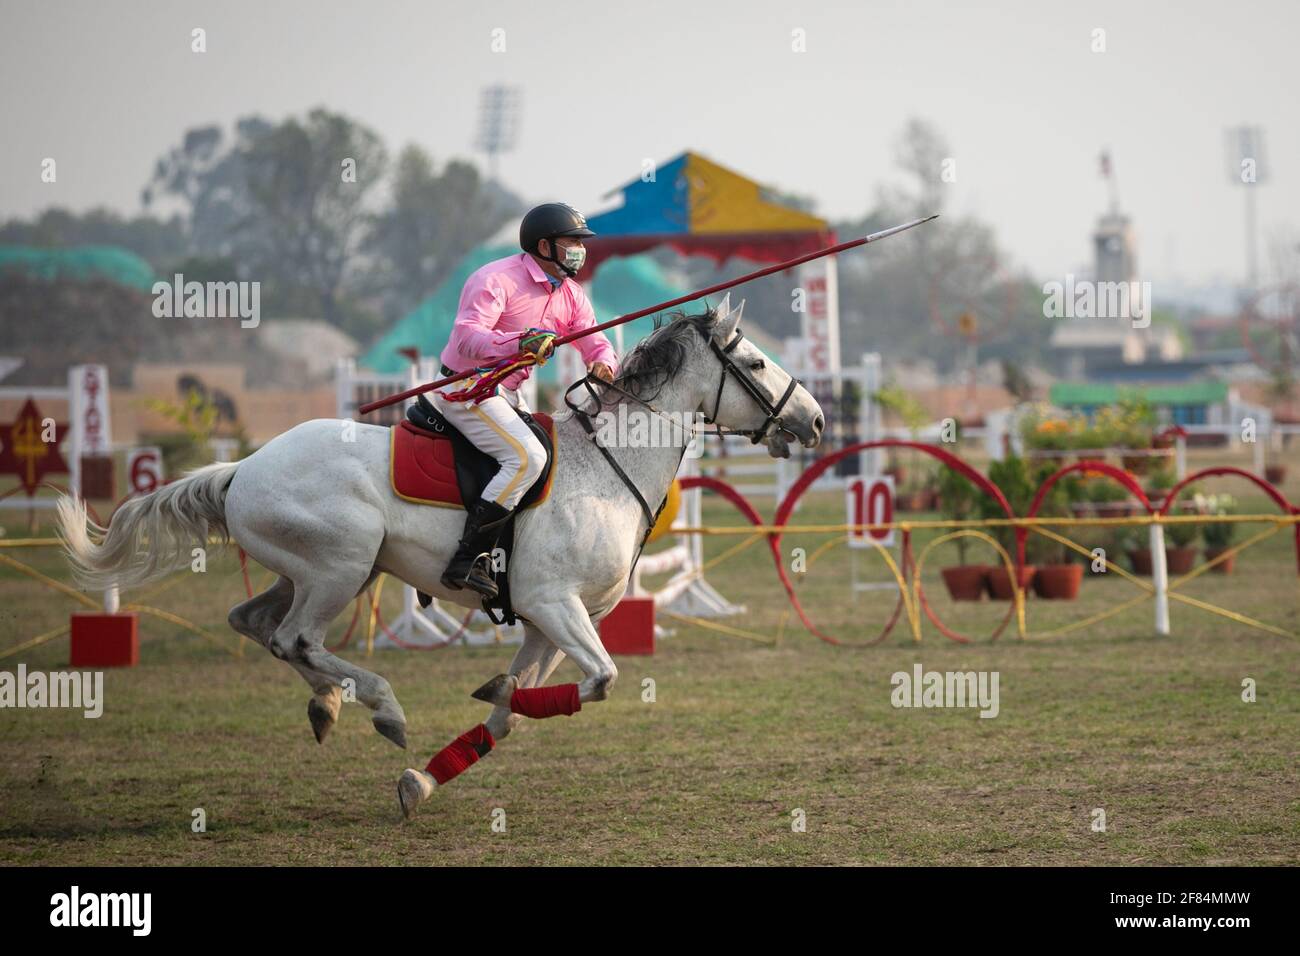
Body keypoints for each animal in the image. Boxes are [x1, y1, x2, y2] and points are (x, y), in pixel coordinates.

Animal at [61, 297, 821, 816]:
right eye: (755, 362)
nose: (813, 419)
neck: (607, 464)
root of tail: (243, 467)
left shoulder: (548, 624)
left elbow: (511, 711)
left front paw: (425, 778)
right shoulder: (555, 606)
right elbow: (600, 679)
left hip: (320, 571)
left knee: (255, 623)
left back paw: (328, 705)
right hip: (340, 566)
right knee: (295, 637)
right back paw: (378, 707)